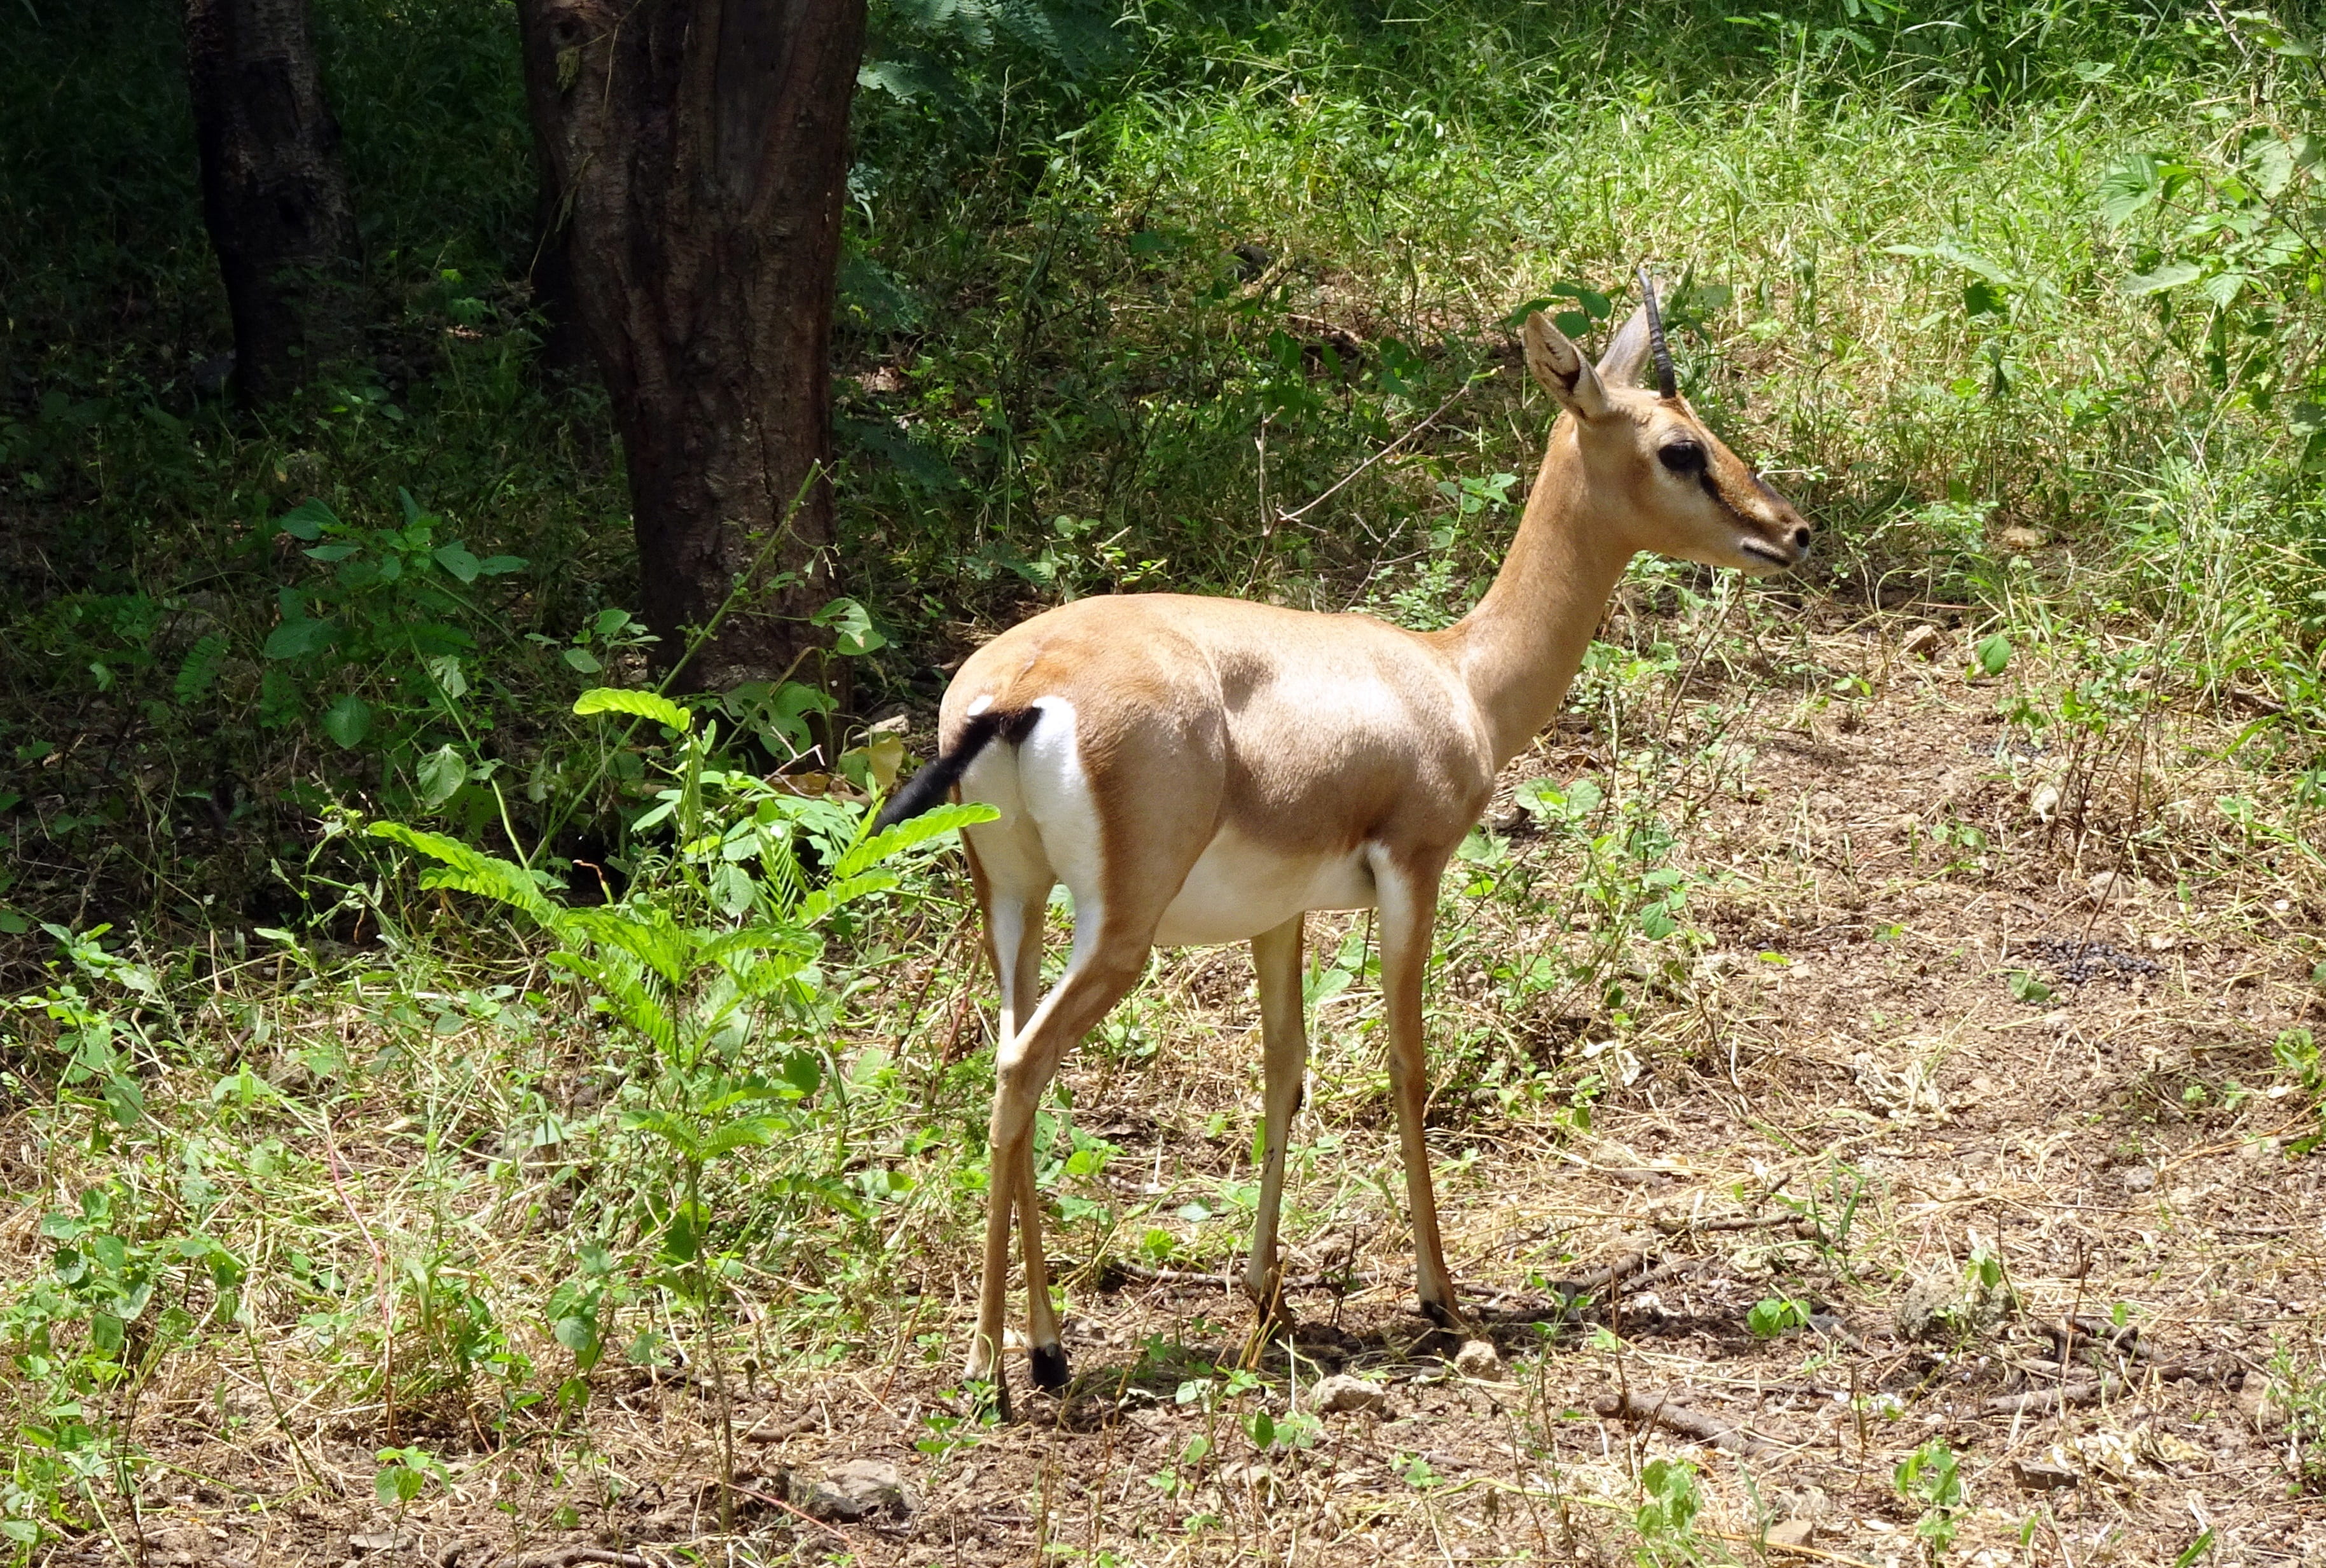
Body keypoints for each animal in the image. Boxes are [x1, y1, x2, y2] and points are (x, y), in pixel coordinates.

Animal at [874, 276, 1811, 1418]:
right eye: (1679, 447)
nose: (1792, 531)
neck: (1456, 679)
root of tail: (1019, 685)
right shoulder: (1413, 871)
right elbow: (1407, 1065)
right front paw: (1442, 1299)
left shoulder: (1277, 918)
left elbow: (1284, 1071)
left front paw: (1263, 1299)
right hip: (1117, 931)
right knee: (1021, 1068)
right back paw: (988, 1372)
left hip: (1012, 900)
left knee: (1010, 1062)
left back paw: (1043, 1352)